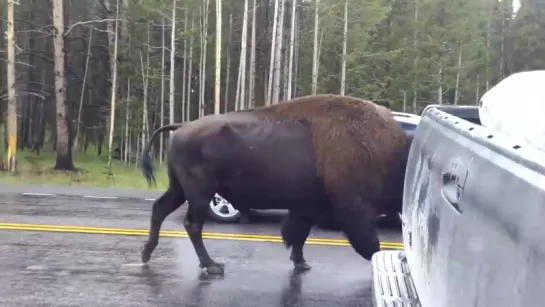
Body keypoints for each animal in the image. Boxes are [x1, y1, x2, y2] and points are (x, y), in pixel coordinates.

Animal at [139, 94, 408, 276]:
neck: (392, 156)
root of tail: (182, 126)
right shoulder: (356, 208)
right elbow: (370, 243)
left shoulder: (306, 207)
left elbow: (298, 233)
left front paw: (301, 262)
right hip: (200, 193)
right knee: (192, 225)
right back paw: (212, 266)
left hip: (179, 189)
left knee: (160, 209)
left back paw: (146, 253)